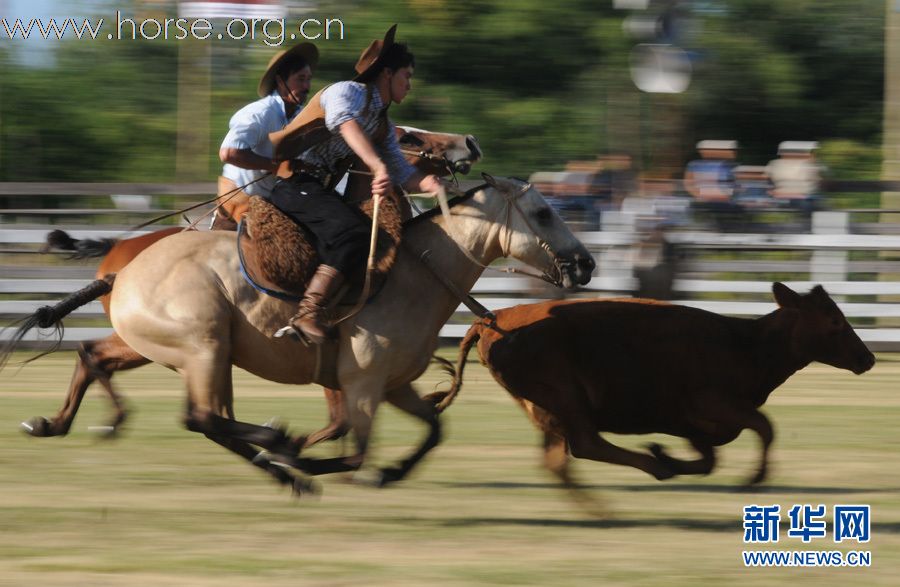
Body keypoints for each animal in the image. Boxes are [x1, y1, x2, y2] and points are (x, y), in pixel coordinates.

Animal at [8, 177, 596, 494]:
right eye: (543, 212)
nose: (586, 265)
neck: (413, 275)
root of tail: (122, 268)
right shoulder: (361, 384)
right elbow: (355, 449)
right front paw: (314, 460)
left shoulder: (393, 385)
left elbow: (433, 431)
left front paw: (388, 474)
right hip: (203, 346)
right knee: (202, 416)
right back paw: (279, 450)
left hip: (189, 352)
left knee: (160, 393)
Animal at [28, 127, 482, 440]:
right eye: (407, 136)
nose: (468, 142)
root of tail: (118, 254)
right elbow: (339, 418)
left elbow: (339, 418)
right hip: (157, 338)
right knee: (94, 354)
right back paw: (103, 421)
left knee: (94, 355)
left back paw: (62, 423)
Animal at [432, 284, 876, 492]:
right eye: (835, 321)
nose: (867, 358)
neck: (745, 345)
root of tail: (489, 320)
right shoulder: (710, 404)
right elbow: (765, 426)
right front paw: (754, 478)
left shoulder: (695, 427)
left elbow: (709, 459)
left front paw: (668, 455)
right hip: (564, 394)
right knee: (586, 442)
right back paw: (653, 466)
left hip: (545, 404)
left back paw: (655, 465)